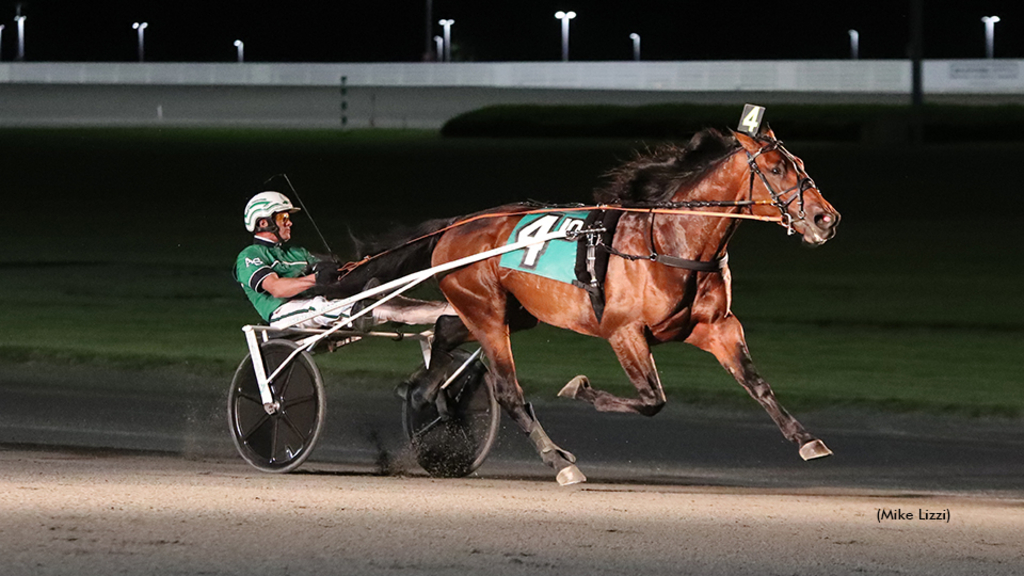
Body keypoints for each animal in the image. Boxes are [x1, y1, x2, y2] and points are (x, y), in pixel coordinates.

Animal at [335, 125, 839, 483]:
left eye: (799, 162)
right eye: (775, 169)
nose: (825, 218)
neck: (669, 240)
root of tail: (457, 224)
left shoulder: (717, 325)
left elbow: (757, 383)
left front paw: (807, 440)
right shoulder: (623, 330)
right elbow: (652, 400)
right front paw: (578, 388)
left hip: (506, 313)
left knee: (442, 332)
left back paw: (426, 395)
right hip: (486, 313)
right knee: (508, 391)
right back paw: (558, 461)